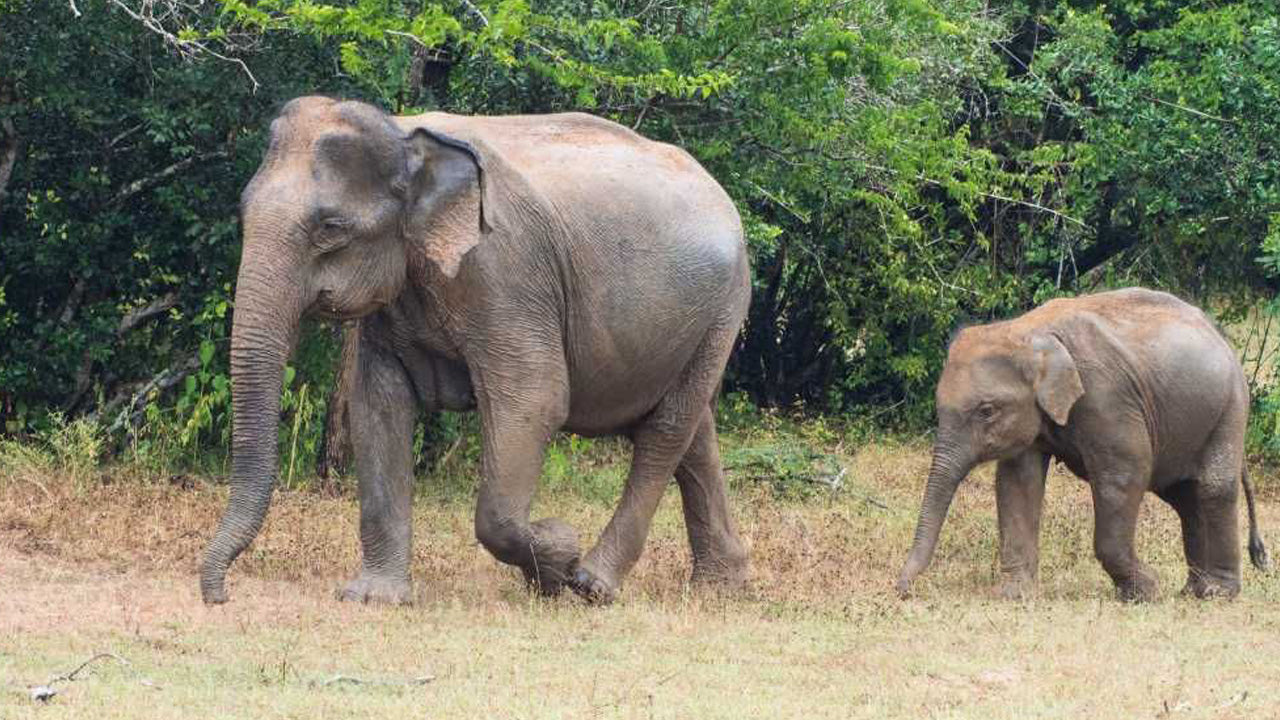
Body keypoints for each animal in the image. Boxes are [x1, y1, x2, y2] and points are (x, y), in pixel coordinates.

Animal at [199, 95, 747, 599]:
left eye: (331, 228)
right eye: (243, 211)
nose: (221, 596)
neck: (405, 136)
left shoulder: (506, 273)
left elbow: (535, 400)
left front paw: (558, 554)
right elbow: (377, 404)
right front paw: (374, 598)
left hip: (724, 307)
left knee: (665, 430)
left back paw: (593, 584)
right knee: (691, 429)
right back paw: (720, 586)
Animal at [896, 286, 1264, 599]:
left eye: (986, 411)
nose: (900, 590)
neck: (1028, 331)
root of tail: (1219, 335)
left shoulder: (1107, 397)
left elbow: (1124, 474)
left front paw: (1146, 591)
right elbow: (1017, 481)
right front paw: (1014, 595)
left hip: (1230, 406)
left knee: (1213, 488)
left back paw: (1218, 594)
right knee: (1184, 496)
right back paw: (1191, 591)